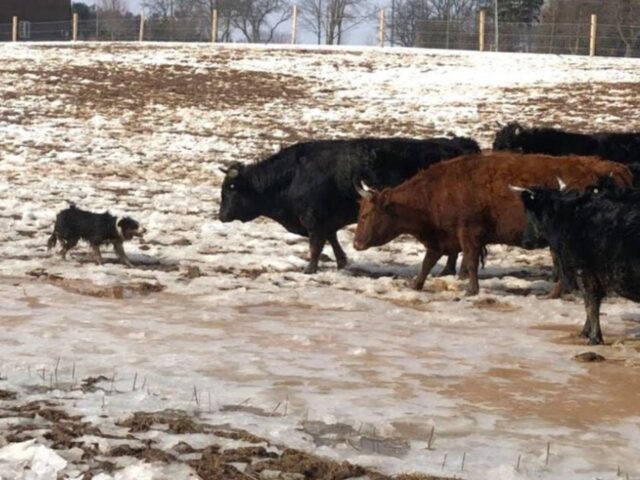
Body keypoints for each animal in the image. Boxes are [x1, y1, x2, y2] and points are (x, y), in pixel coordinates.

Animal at [218, 138, 478, 274]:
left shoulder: (314, 220)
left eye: (230, 189)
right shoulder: (325, 221)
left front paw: (309, 270)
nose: (221, 216)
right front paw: (342, 261)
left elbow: (316, 246)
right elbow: (332, 240)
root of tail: (458, 143)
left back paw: (448, 270)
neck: (292, 175)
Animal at [352, 153, 632, 296]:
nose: (355, 243)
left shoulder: (469, 233)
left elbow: (470, 263)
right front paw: (415, 285)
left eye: (365, 216)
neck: (437, 190)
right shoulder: (442, 238)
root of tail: (611, 167)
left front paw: (470, 291)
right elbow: (428, 262)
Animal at [516, 181, 640, 344]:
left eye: (528, 213)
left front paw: (593, 338)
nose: (525, 242)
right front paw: (586, 333)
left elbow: (590, 303)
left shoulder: (584, 271)